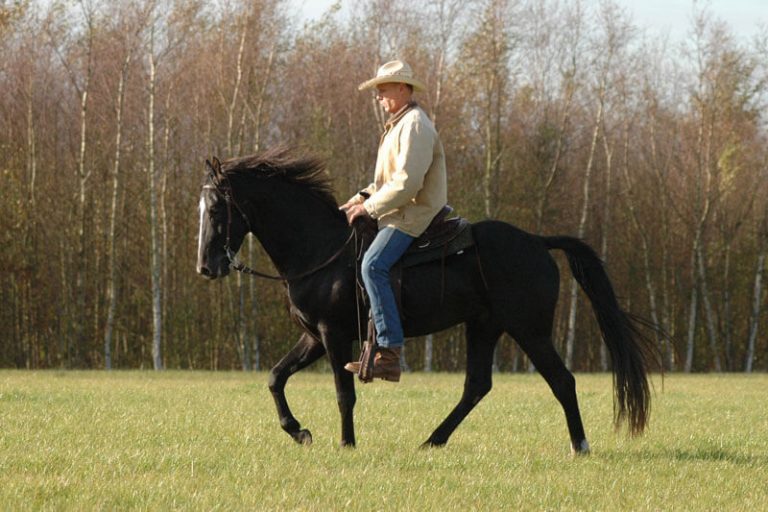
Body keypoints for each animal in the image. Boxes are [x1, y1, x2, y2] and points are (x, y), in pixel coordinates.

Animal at [196, 147, 657, 454]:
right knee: (477, 386)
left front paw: (346, 444)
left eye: (217, 209)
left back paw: (580, 445)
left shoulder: (333, 335)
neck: (320, 248)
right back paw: (433, 440)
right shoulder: (313, 337)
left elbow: (344, 392)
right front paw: (299, 431)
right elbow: (276, 377)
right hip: (484, 327)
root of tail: (537, 241)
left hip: (529, 330)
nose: (206, 266)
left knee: (561, 381)